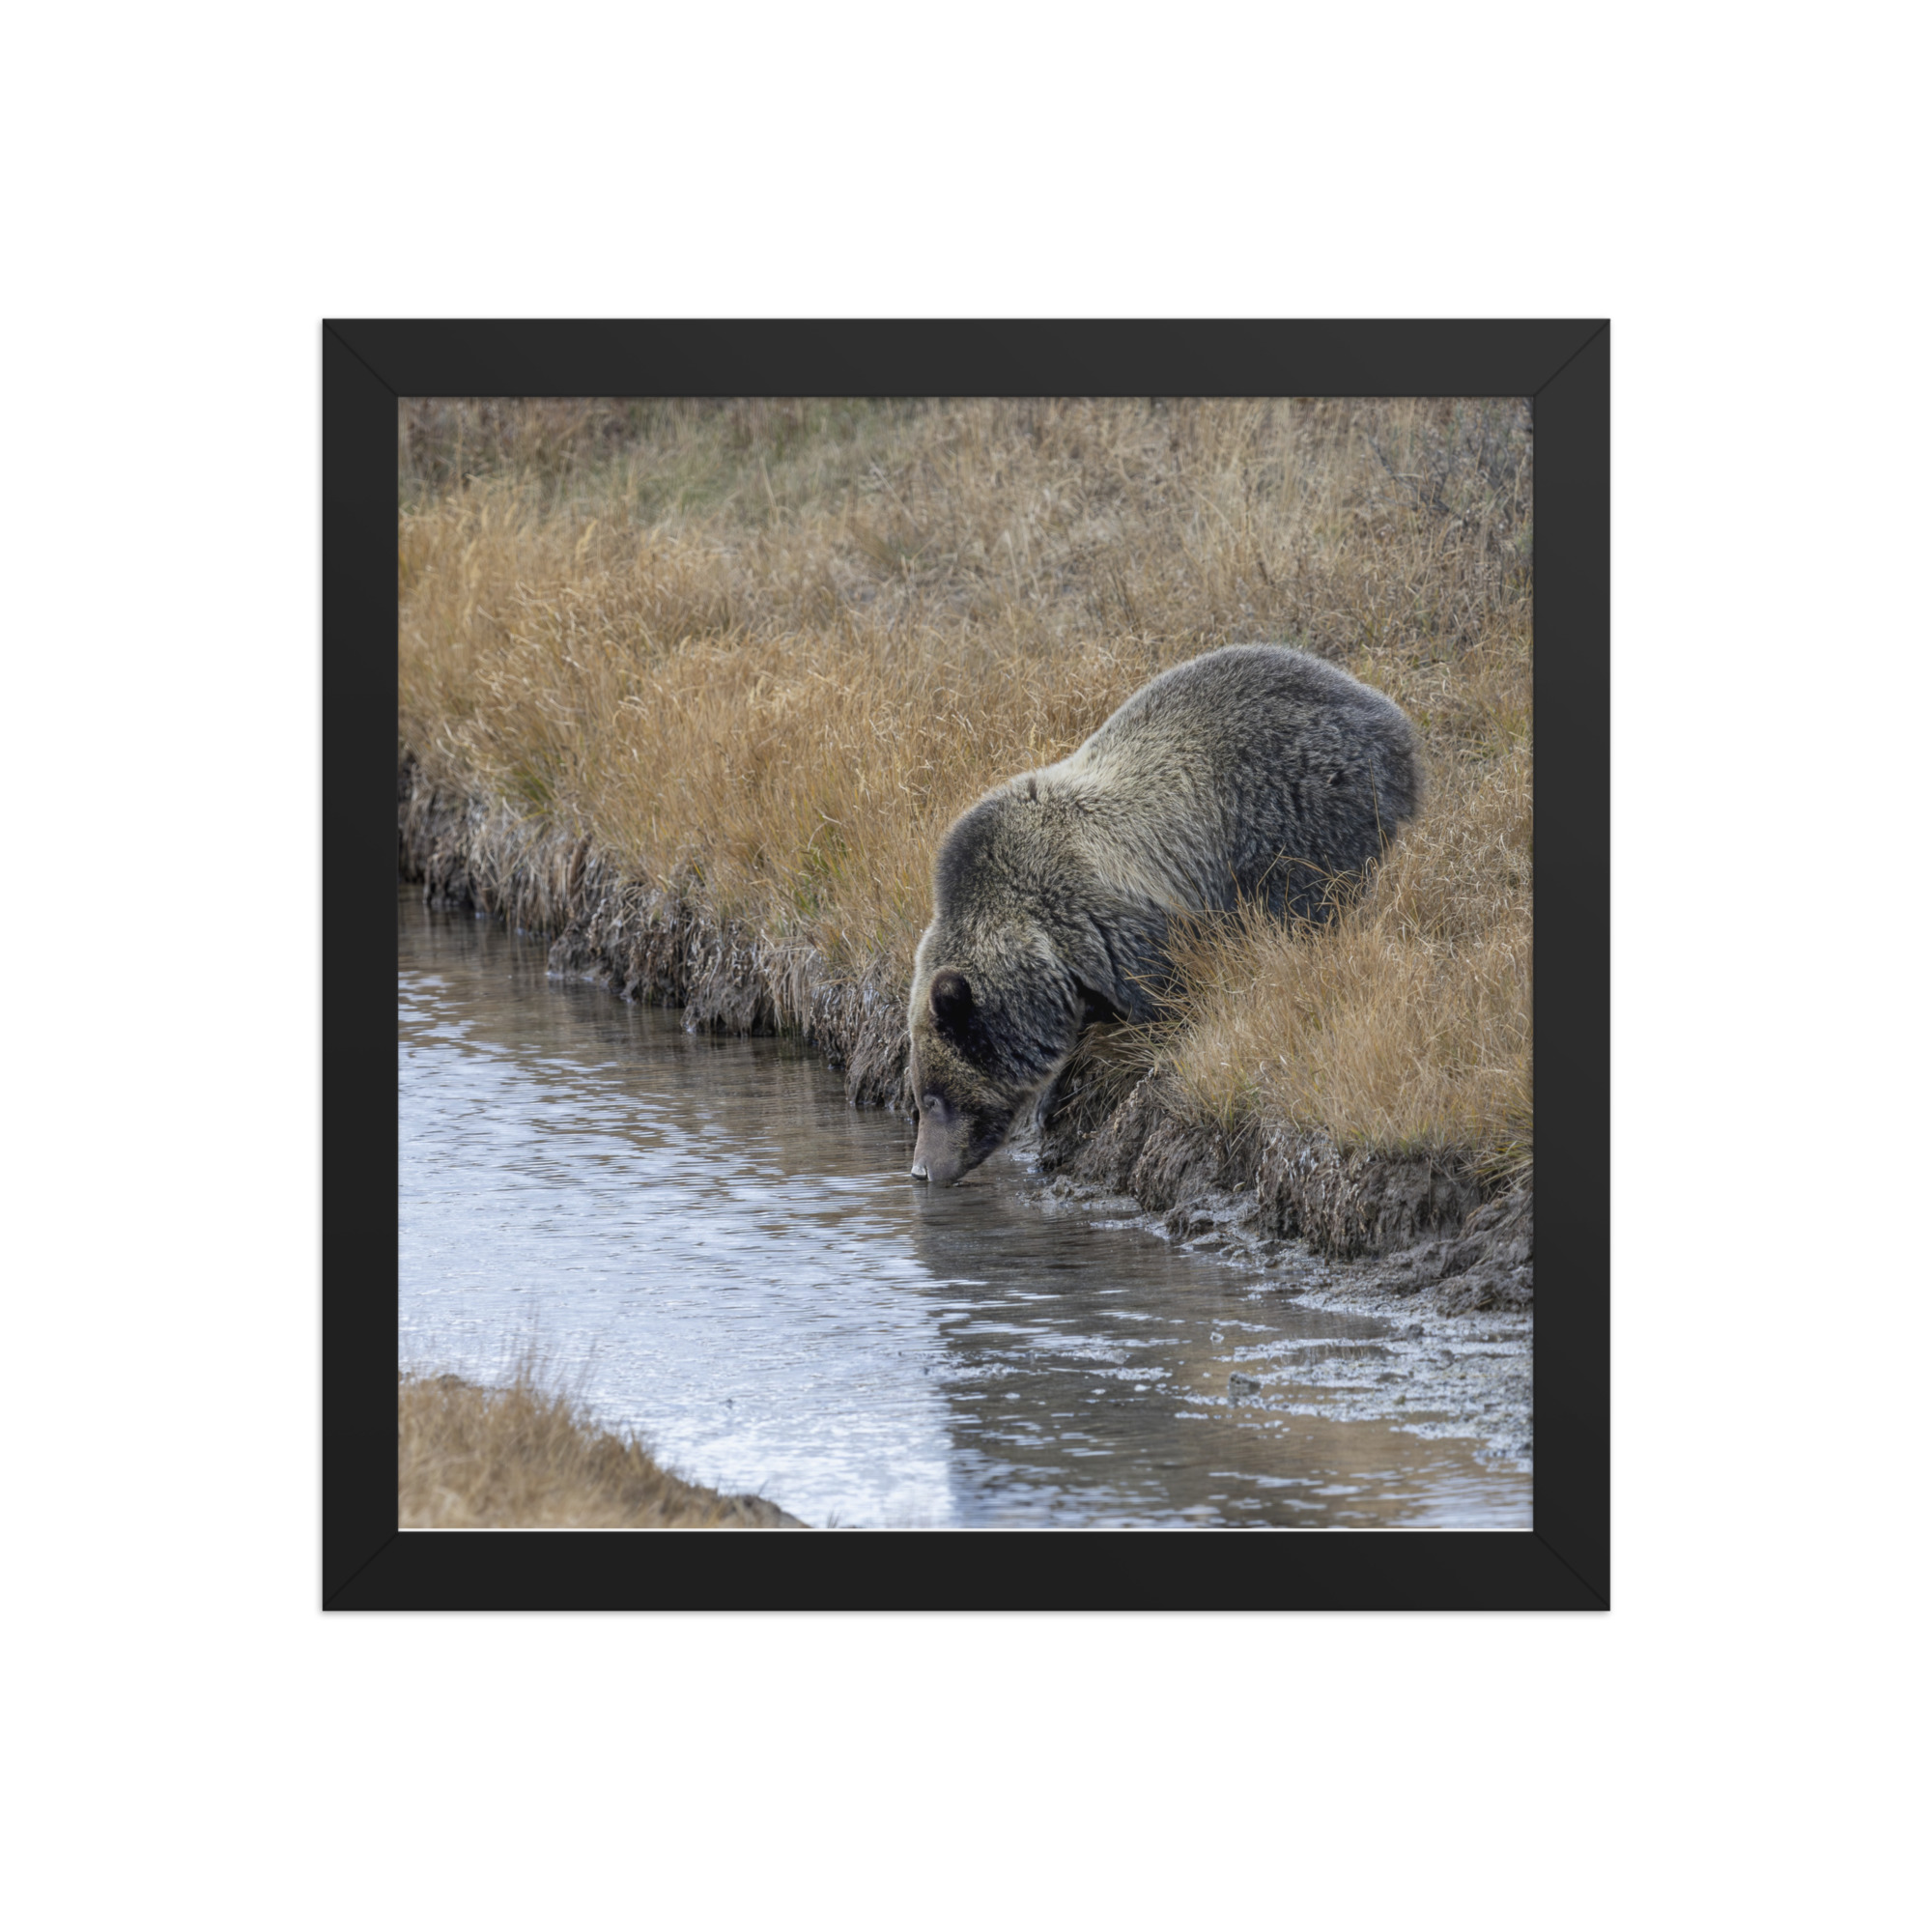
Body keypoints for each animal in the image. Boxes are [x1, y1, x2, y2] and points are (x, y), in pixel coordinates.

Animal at [907, 643, 1420, 1185]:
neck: (1042, 946)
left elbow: (1164, 996)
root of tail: (1388, 714)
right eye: (920, 1097)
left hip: (1297, 808)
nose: (921, 1169)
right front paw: (1053, 1095)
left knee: (1305, 901)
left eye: (934, 1098)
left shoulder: (1112, 924)